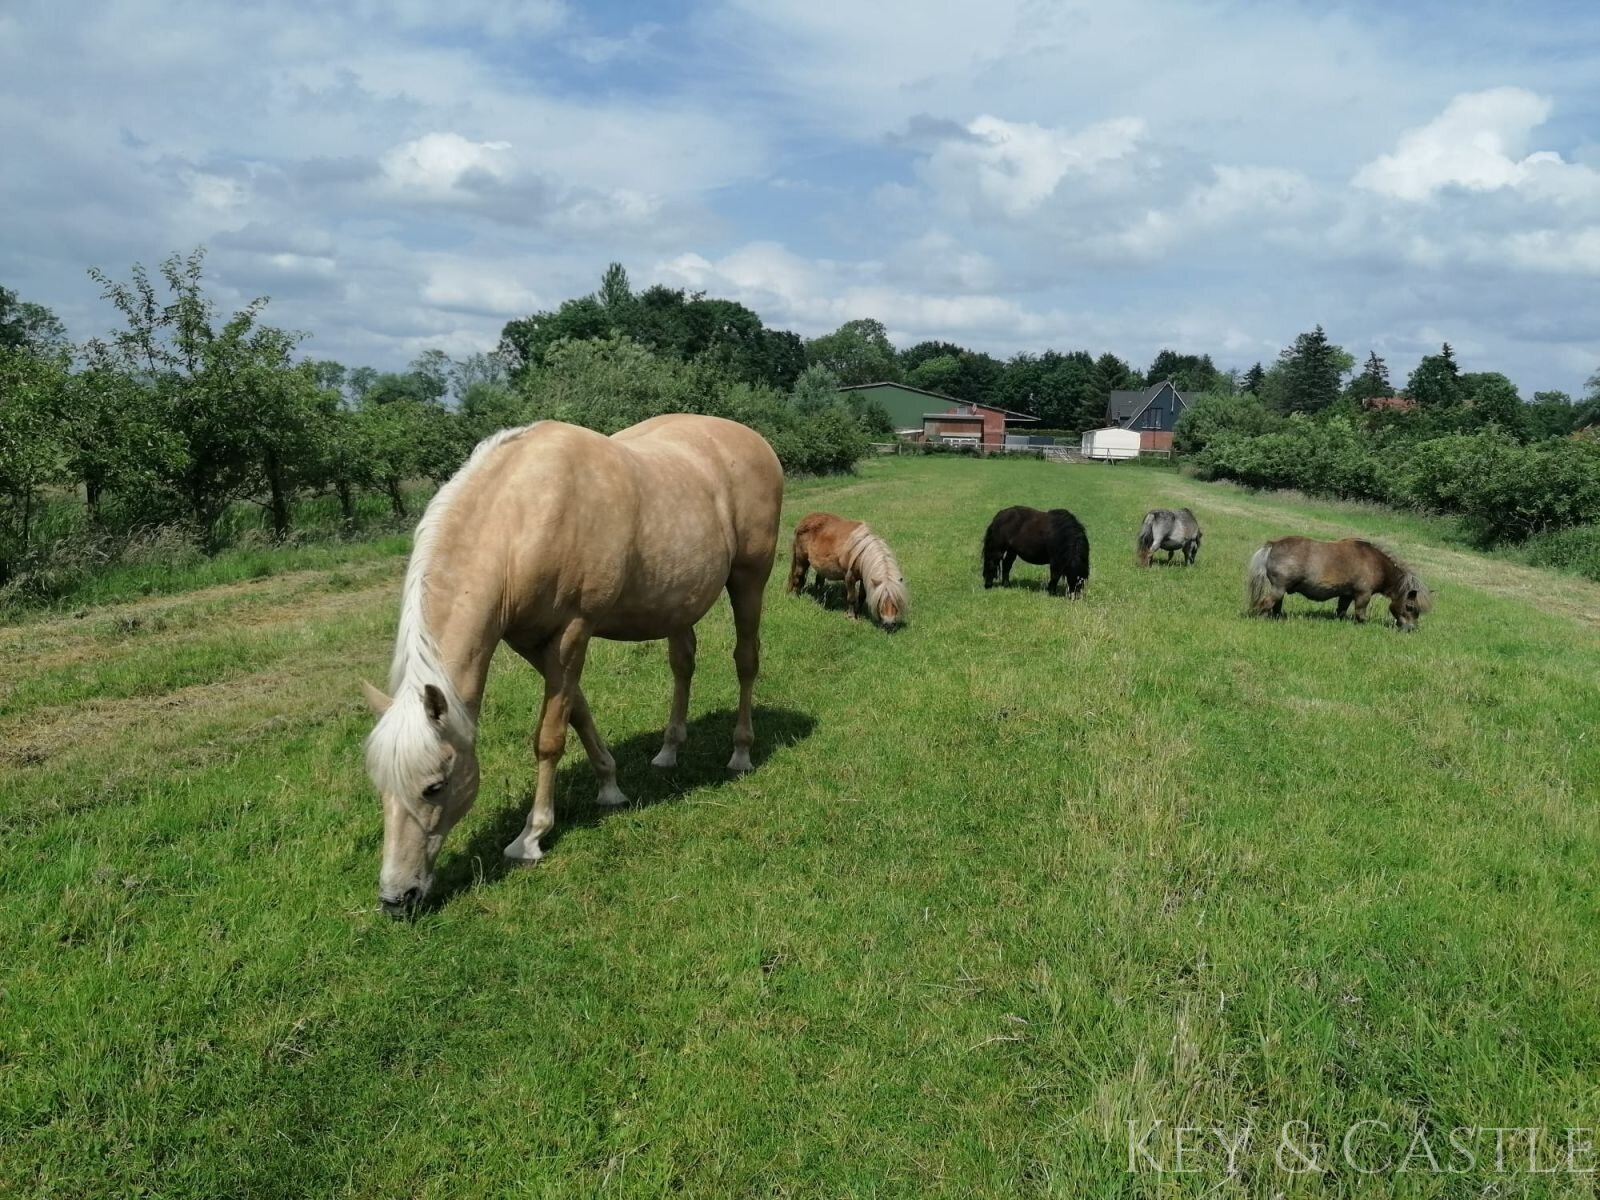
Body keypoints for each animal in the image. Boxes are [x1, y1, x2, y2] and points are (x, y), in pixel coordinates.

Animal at [364, 419, 787, 915]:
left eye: (434, 786)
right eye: (379, 785)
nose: (396, 898)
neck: (521, 520)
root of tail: (755, 441)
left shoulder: (573, 632)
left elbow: (550, 737)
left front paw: (531, 836)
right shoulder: (533, 643)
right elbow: (577, 711)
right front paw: (610, 786)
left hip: (749, 579)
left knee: (746, 661)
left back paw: (740, 753)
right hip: (677, 603)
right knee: (682, 665)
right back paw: (669, 750)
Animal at [1241, 534, 1433, 630]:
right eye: (1410, 607)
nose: (1411, 628)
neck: (1376, 563)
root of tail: (1273, 544)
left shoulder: (1346, 595)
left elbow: (1341, 611)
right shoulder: (1363, 595)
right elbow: (1361, 614)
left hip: (1280, 590)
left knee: (1275, 606)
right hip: (1279, 589)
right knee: (1265, 603)